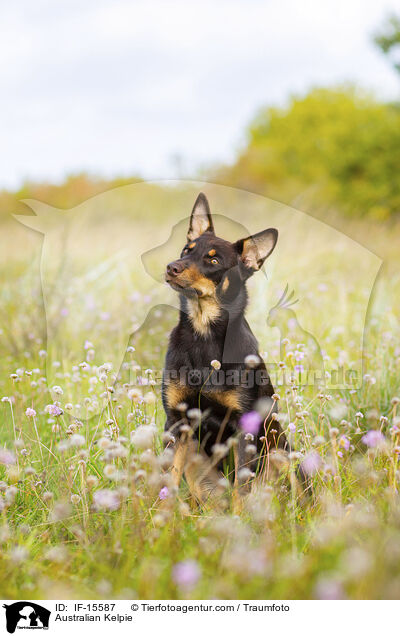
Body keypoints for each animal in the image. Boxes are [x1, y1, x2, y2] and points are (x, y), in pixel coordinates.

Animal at [162, 194, 288, 506]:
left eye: (214, 260)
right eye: (186, 250)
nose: (172, 267)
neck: (204, 335)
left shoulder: (245, 428)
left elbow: (242, 490)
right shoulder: (177, 422)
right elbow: (167, 480)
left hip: (282, 452)